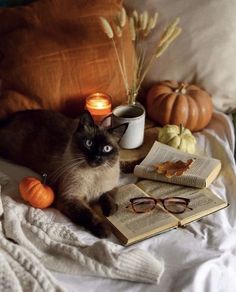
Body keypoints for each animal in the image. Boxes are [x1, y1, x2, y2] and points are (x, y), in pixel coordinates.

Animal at [0, 109, 127, 237]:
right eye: (89, 143)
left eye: (107, 148)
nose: (96, 157)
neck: (94, 174)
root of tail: (14, 115)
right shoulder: (70, 198)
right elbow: (88, 215)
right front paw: (104, 230)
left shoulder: (111, 187)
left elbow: (107, 196)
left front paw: (110, 210)